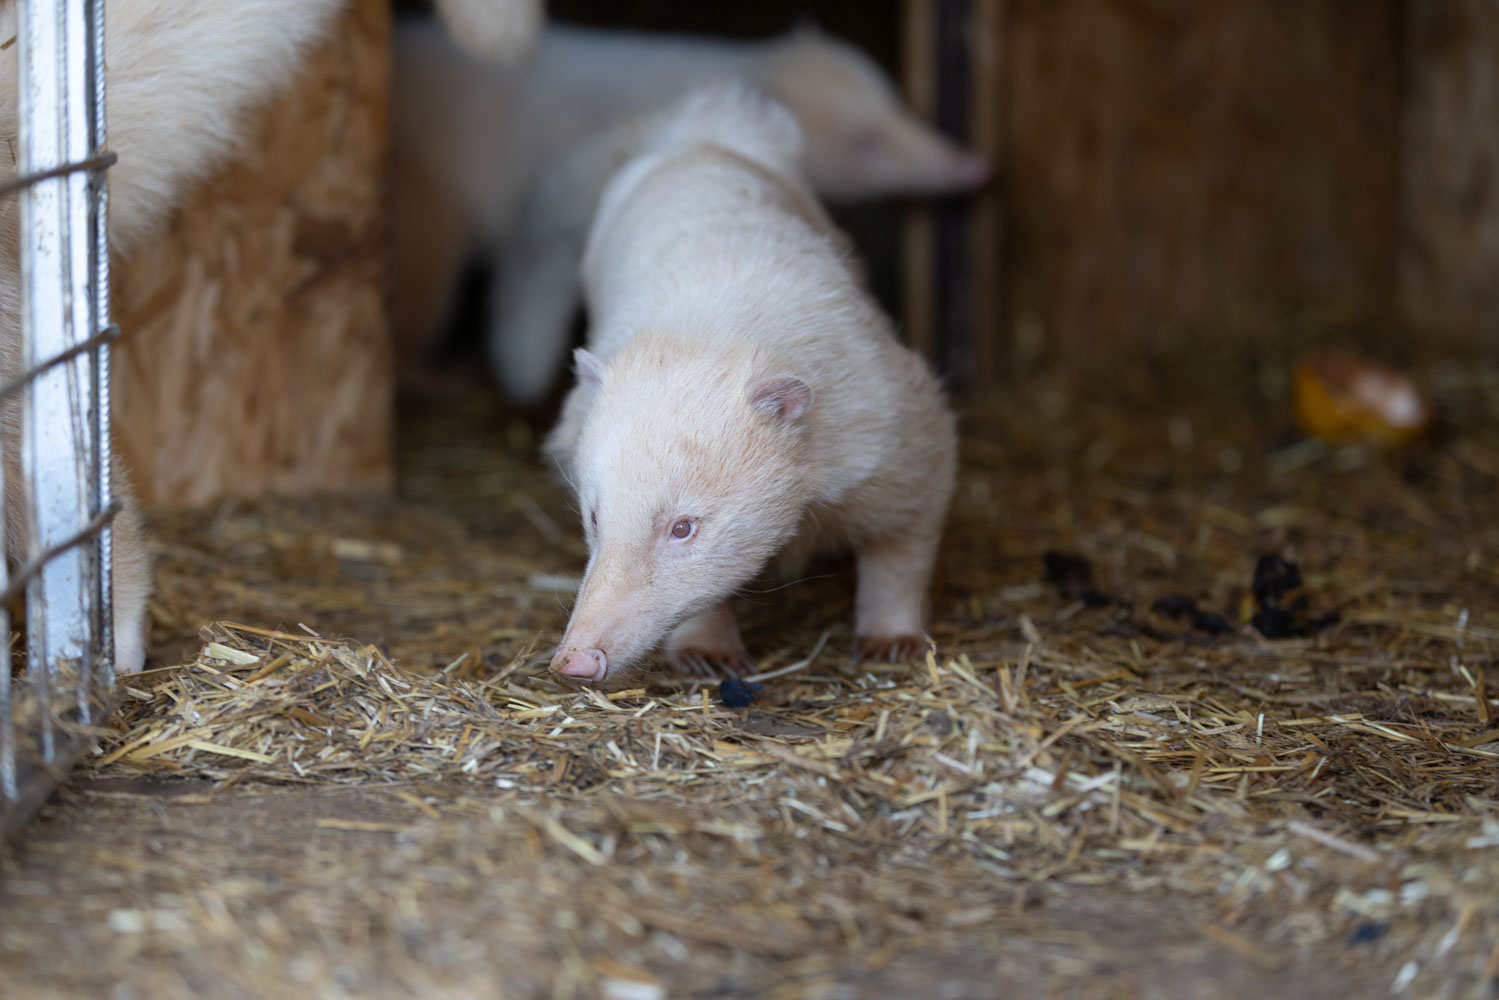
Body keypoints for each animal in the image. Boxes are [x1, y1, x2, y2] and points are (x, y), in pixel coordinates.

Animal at [390, 19, 991, 390]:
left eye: (897, 99)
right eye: (865, 141)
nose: (971, 163)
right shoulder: (568, 185)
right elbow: (534, 269)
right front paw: (523, 368)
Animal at [543, 86, 958, 686]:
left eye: (684, 527)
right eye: (595, 516)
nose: (573, 660)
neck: (707, 335)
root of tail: (701, 136)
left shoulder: (900, 430)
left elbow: (902, 546)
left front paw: (891, 647)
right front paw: (710, 657)